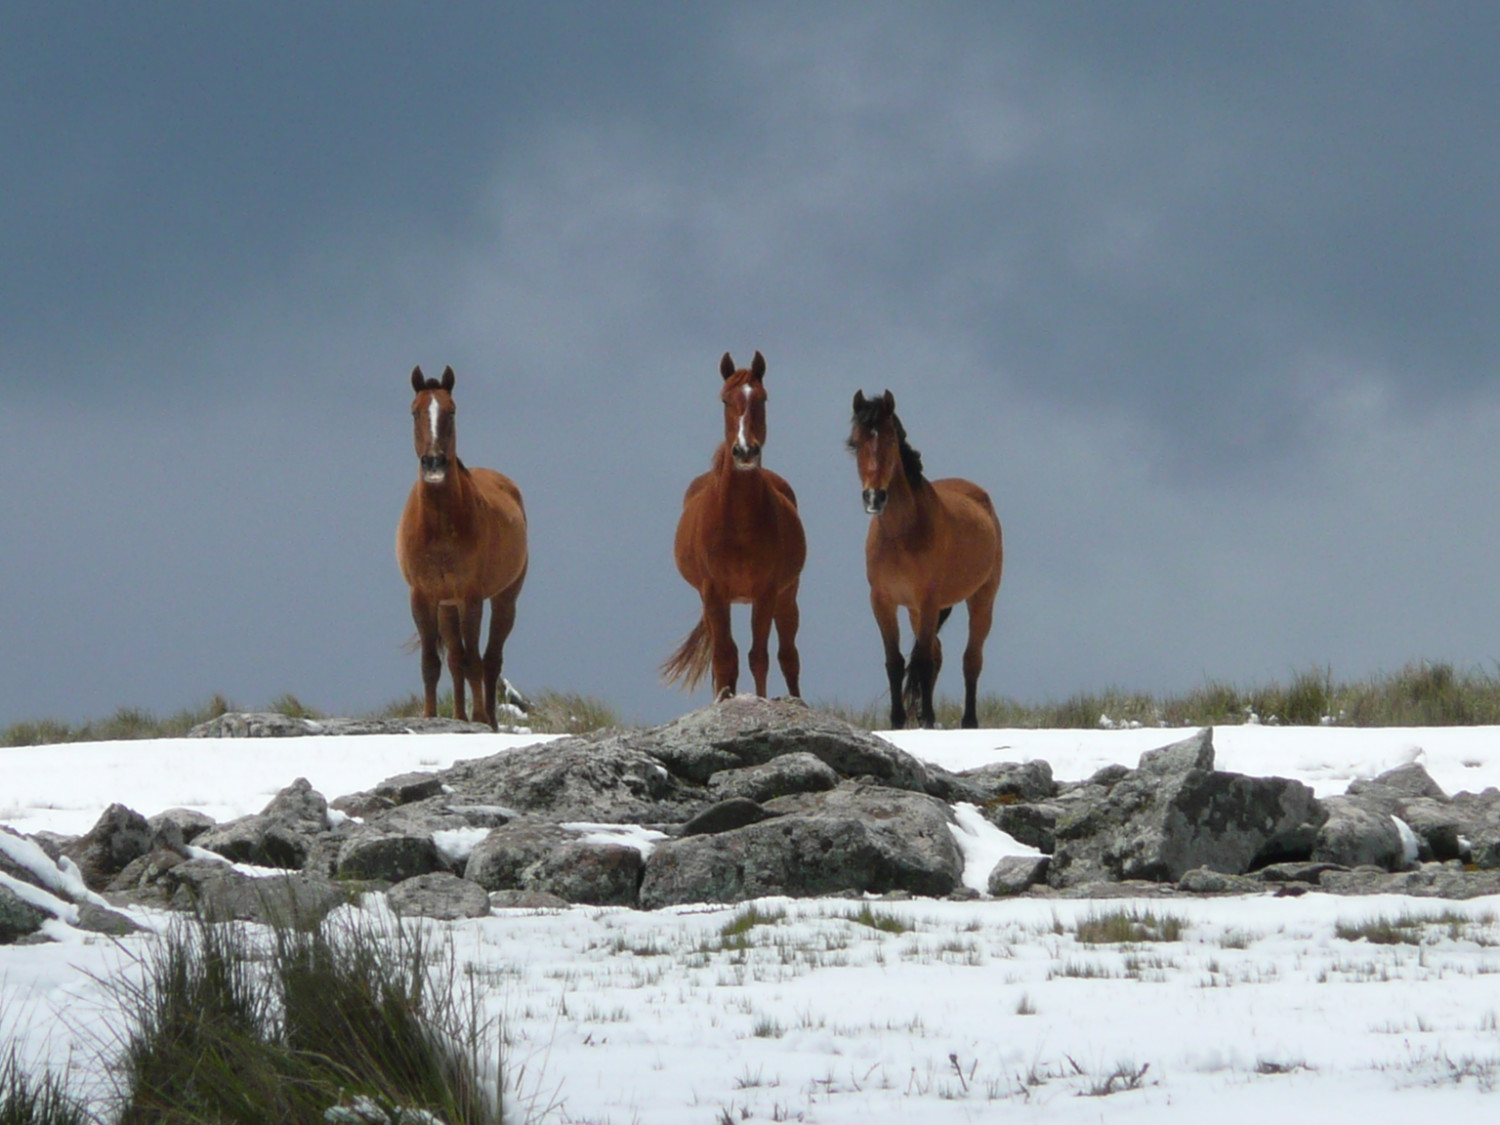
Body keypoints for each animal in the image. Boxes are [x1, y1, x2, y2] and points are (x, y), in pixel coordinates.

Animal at [393, 366, 528, 726]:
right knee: (454, 659)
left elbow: (474, 660)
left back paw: (489, 721)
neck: (440, 526)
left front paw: (479, 718)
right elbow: (432, 663)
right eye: (414, 412)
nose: (434, 464)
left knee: (490, 659)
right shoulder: (423, 597)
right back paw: (458, 716)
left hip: (503, 599)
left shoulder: (471, 598)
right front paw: (430, 717)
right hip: (447, 607)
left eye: (451, 411)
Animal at [666, 354, 810, 705]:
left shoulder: (766, 592)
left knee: (789, 656)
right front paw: (724, 701)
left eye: (762, 399)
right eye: (724, 400)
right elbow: (724, 657)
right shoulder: (714, 593)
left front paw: (760, 702)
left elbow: (759, 656)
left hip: (787, 596)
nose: (746, 451)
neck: (738, 522)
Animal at [852, 393, 1002, 732]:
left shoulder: (929, 599)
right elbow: (895, 661)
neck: (901, 533)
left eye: (891, 439)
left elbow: (921, 661)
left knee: (970, 659)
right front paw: (897, 721)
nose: (874, 497)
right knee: (937, 653)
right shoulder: (883, 601)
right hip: (914, 611)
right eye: (855, 443)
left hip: (981, 599)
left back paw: (968, 720)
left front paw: (929, 720)